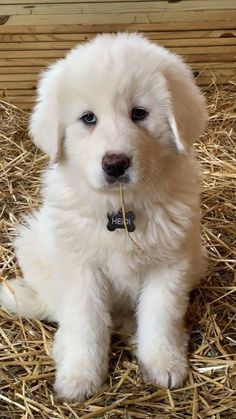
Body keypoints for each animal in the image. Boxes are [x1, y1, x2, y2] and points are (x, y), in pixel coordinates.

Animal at [0, 32, 206, 400]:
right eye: (88, 118)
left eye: (139, 113)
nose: (115, 164)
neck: (122, 209)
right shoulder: (80, 269)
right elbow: (87, 324)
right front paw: (80, 376)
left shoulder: (171, 264)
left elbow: (160, 316)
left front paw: (164, 364)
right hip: (35, 244)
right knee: (61, 312)